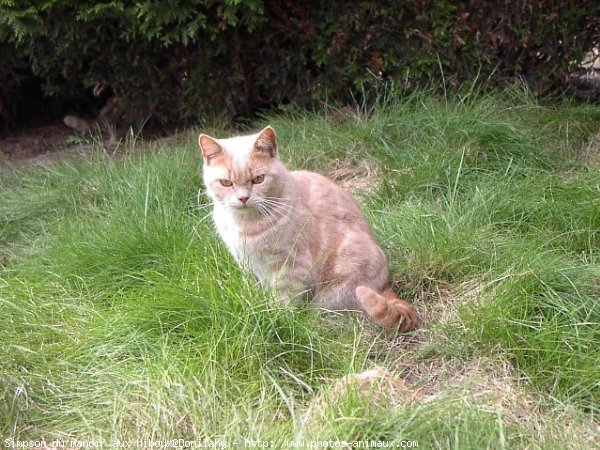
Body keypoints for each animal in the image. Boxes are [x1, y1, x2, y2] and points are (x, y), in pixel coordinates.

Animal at [199, 125, 420, 330]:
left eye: (258, 179)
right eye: (226, 183)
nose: (243, 198)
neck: (245, 224)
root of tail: (385, 285)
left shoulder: (290, 266)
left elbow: (284, 299)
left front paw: (278, 319)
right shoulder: (246, 264)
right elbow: (254, 290)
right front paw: (257, 306)